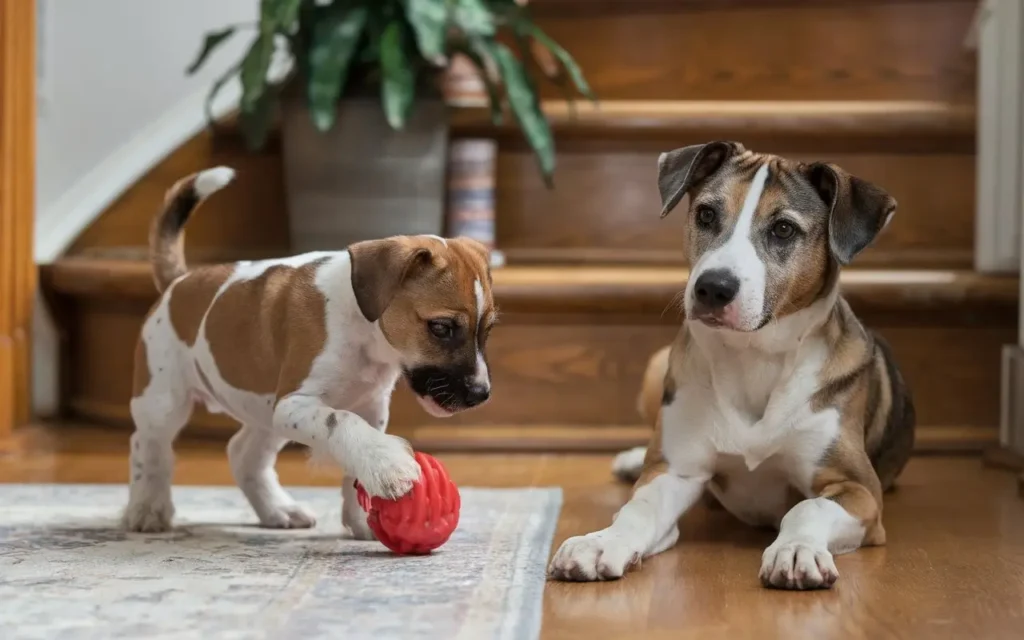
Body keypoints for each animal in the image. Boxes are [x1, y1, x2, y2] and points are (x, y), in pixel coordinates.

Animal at [121, 166, 497, 536]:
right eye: (441, 328)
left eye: (488, 329)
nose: (480, 394)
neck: (361, 329)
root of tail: (178, 281)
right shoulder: (296, 403)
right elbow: (341, 421)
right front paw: (389, 466)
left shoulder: (368, 407)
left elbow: (355, 459)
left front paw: (363, 518)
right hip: (163, 401)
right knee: (148, 447)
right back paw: (147, 509)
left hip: (265, 412)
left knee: (243, 454)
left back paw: (278, 510)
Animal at [548, 141, 917, 589]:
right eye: (706, 214)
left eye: (783, 229)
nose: (713, 288)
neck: (754, 355)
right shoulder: (676, 471)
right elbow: (638, 508)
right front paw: (601, 543)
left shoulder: (858, 489)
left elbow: (807, 507)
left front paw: (796, 550)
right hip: (658, 366)